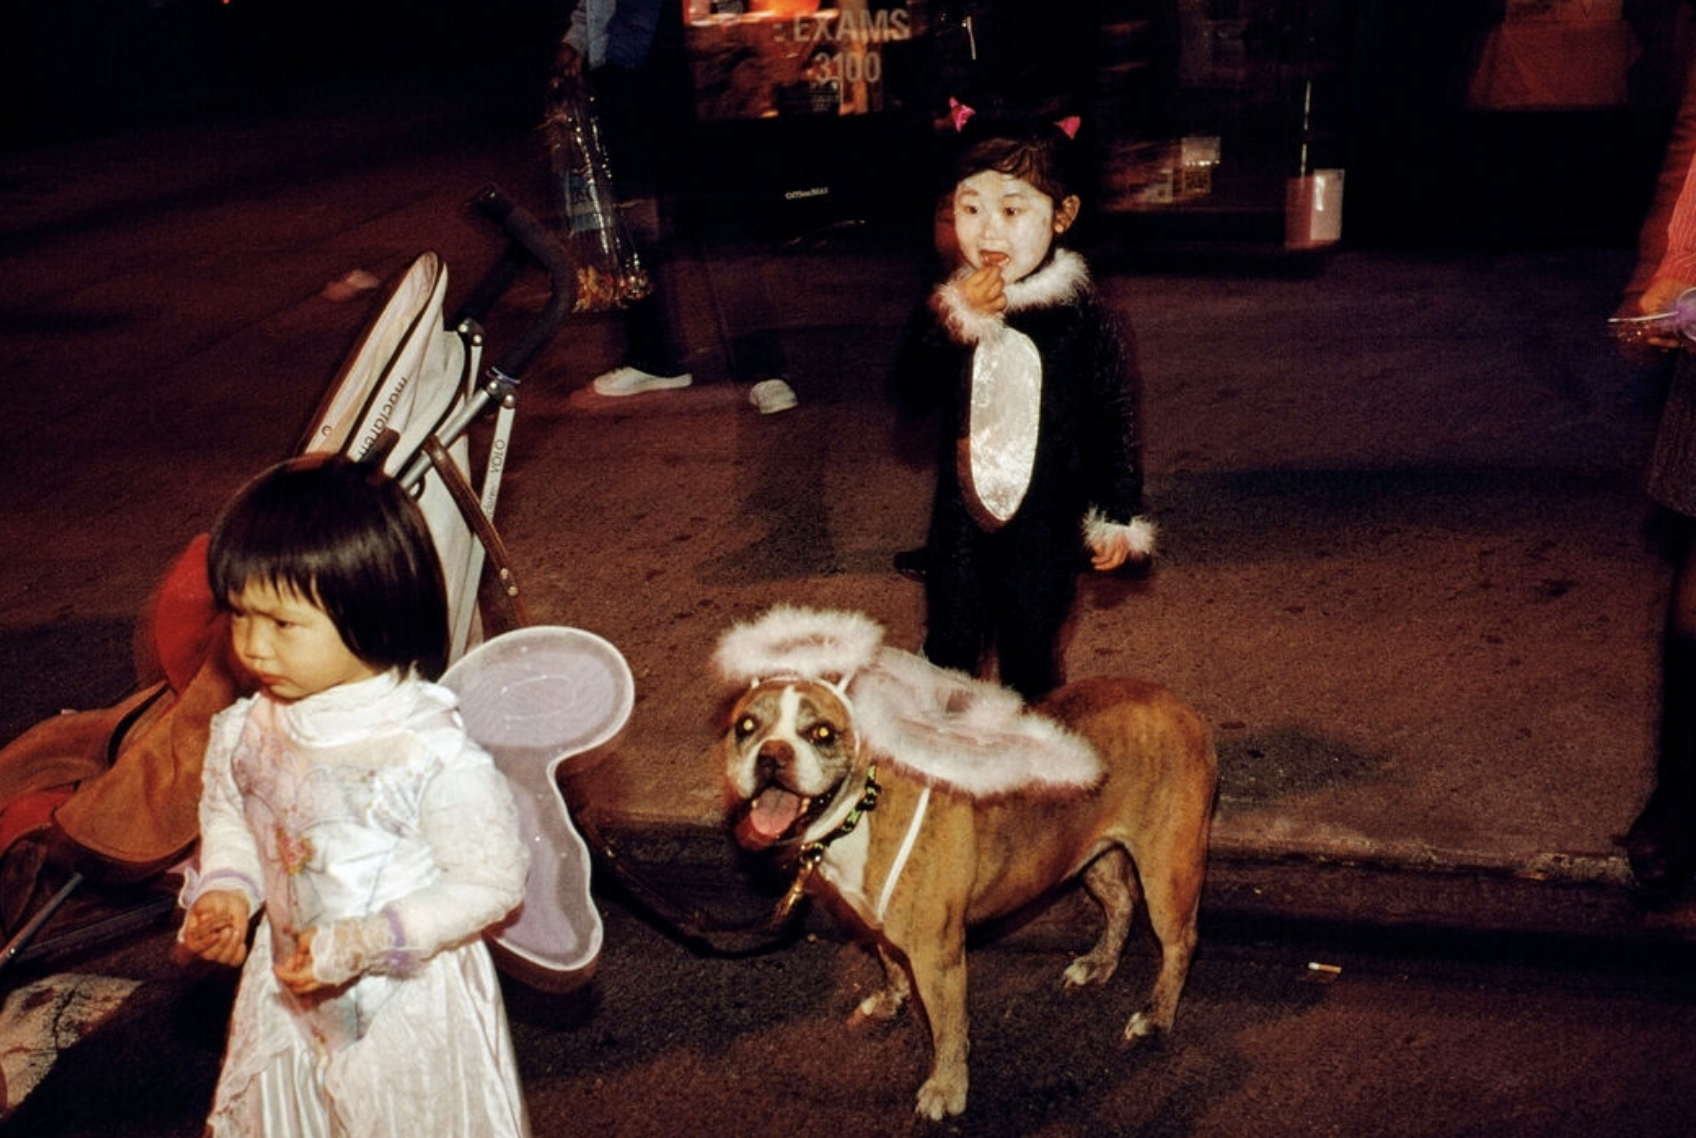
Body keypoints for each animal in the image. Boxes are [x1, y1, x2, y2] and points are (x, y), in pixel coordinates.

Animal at [722, 668, 1214, 1119]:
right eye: (746, 727)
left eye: (821, 732)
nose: (772, 755)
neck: (861, 804)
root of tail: (1177, 705)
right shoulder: (882, 925)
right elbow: (888, 962)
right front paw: (890, 999)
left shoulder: (937, 958)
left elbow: (948, 1028)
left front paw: (946, 1089)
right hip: (1087, 852)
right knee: (1120, 902)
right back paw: (1098, 965)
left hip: (1167, 870)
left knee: (1180, 941)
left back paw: (1155, 1016)